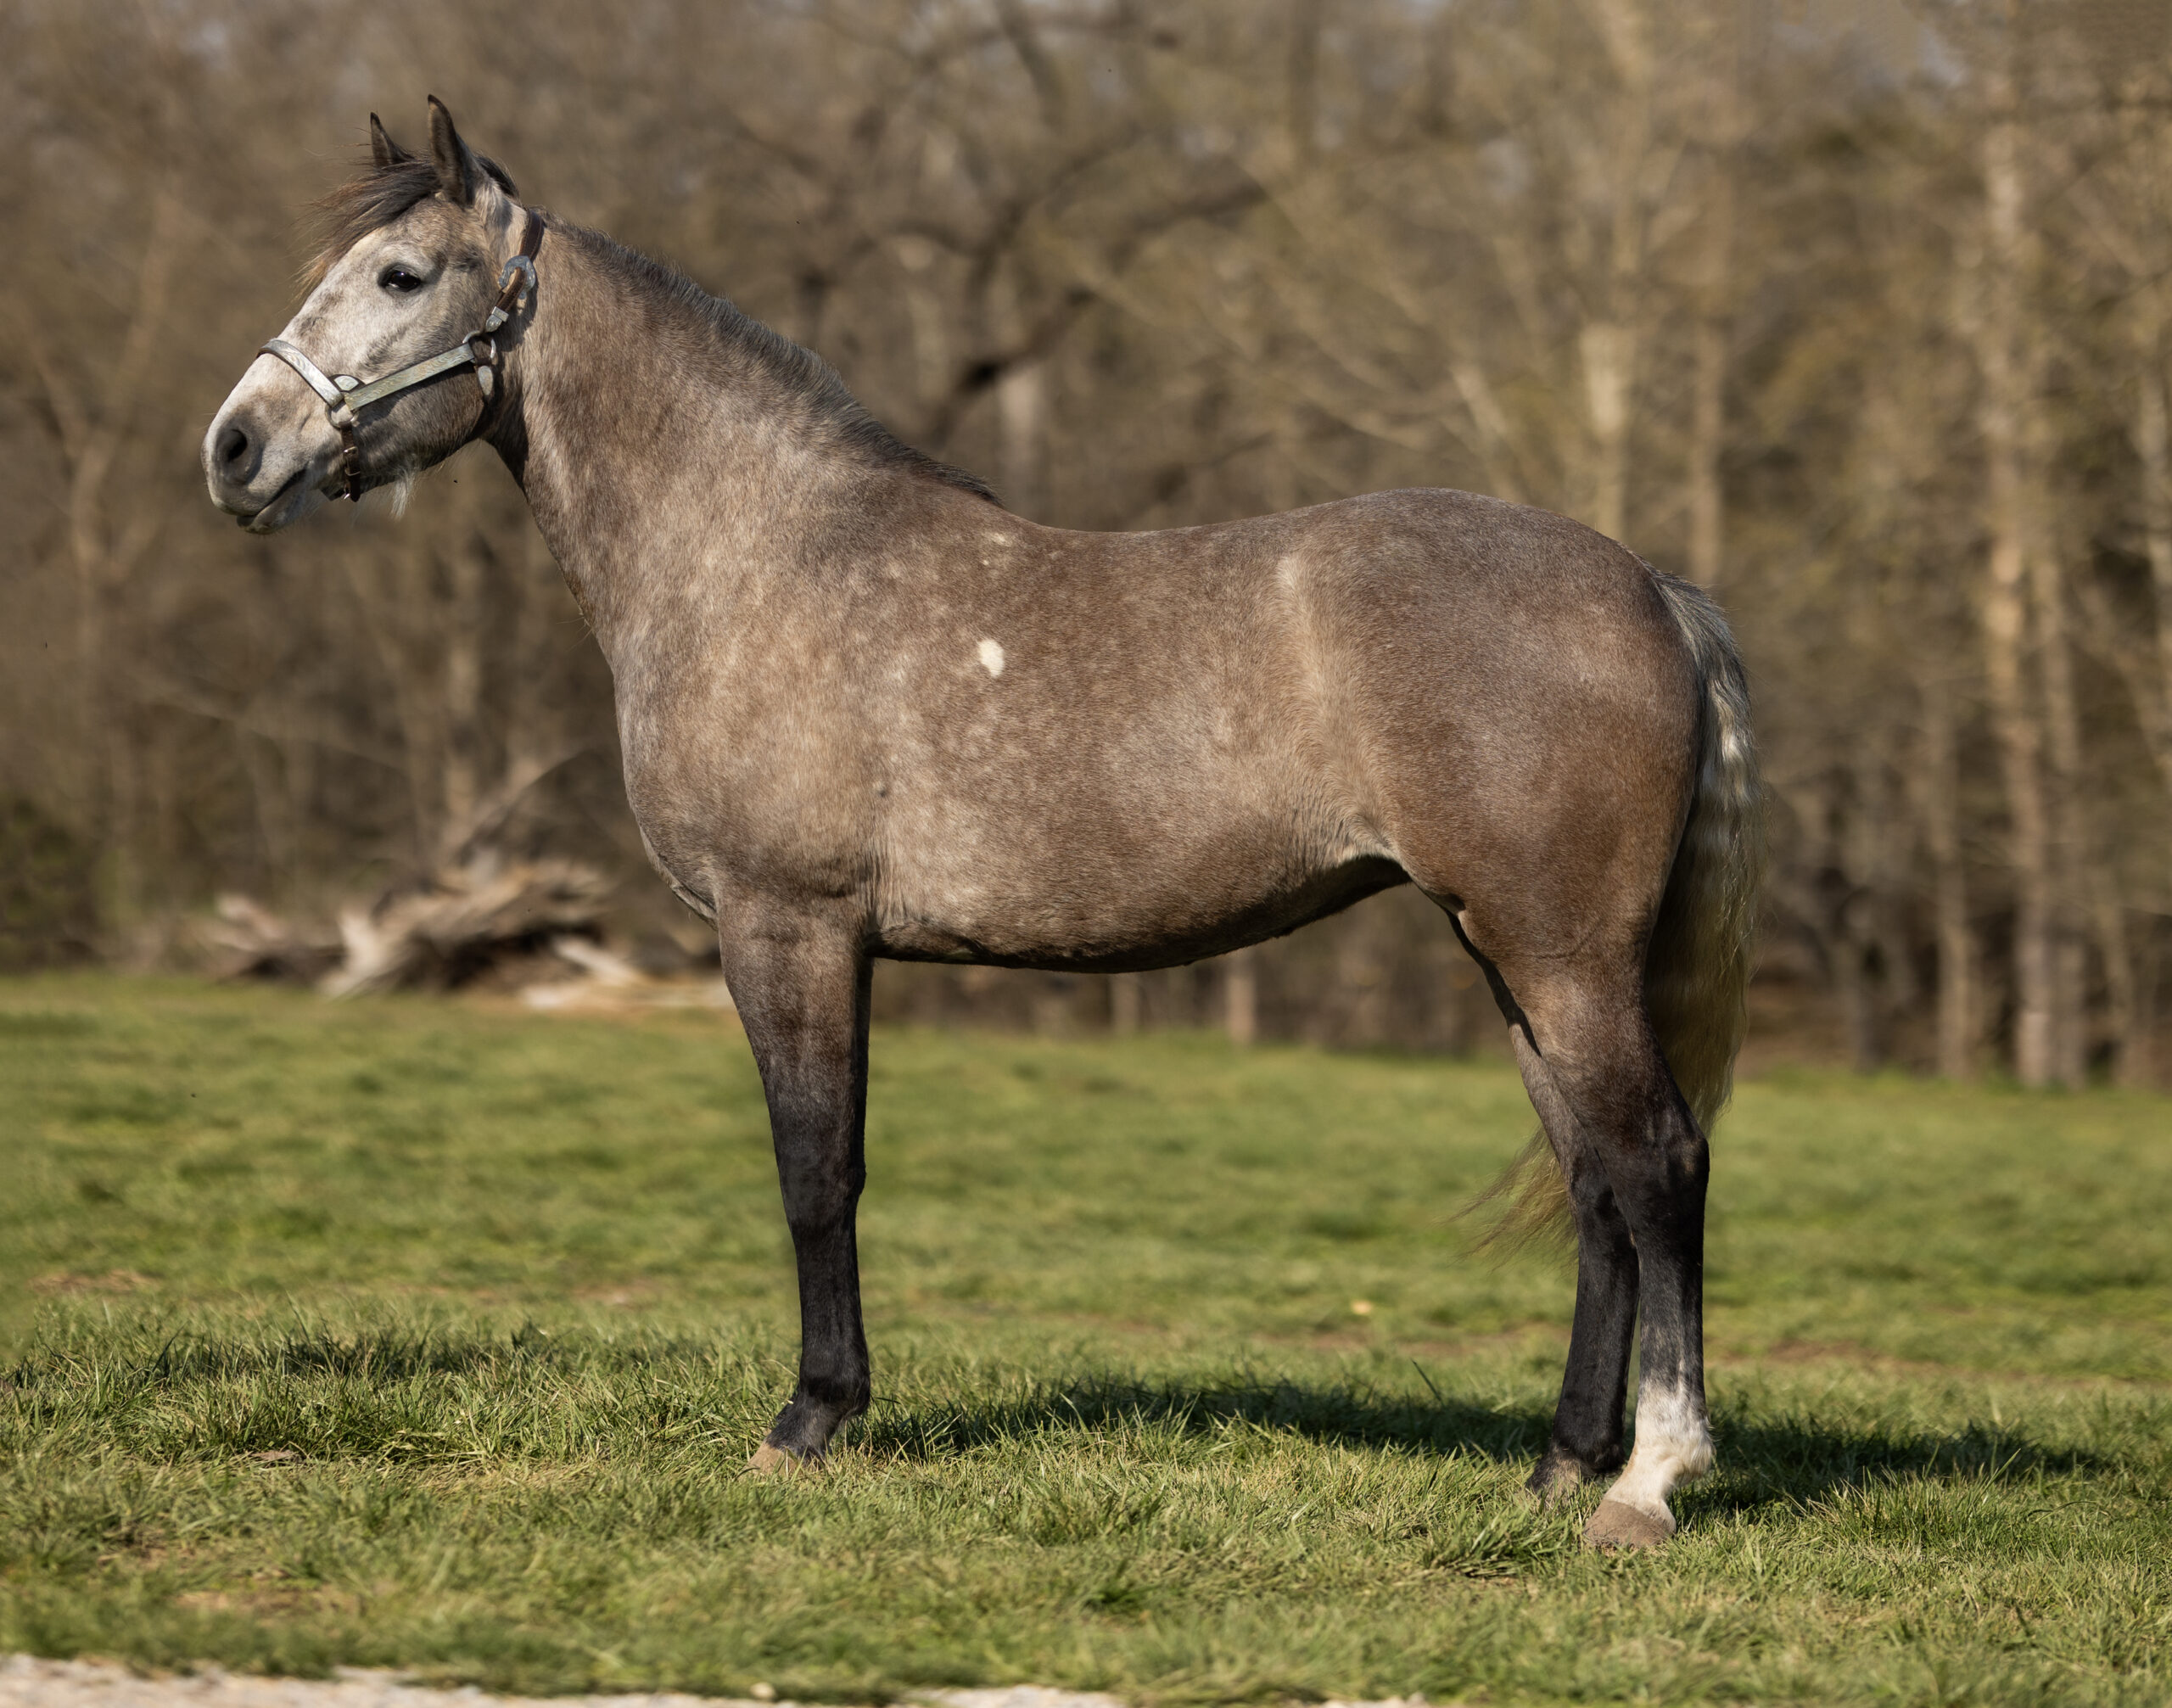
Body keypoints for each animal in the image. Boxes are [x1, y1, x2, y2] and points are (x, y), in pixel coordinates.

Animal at [203, 99, 1761, 1550]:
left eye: (403, 274)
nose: (235, 447)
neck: (758, 560)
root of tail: (1653, 590)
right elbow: (833, 1164)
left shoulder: (789, 928)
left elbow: (816, 1169)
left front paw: (811, 1420)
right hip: (1515, 957)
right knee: (1596, 1187)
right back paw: (1558, 1467)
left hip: (1563, 956)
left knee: (1660, 1162)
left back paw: (1648, 1483)